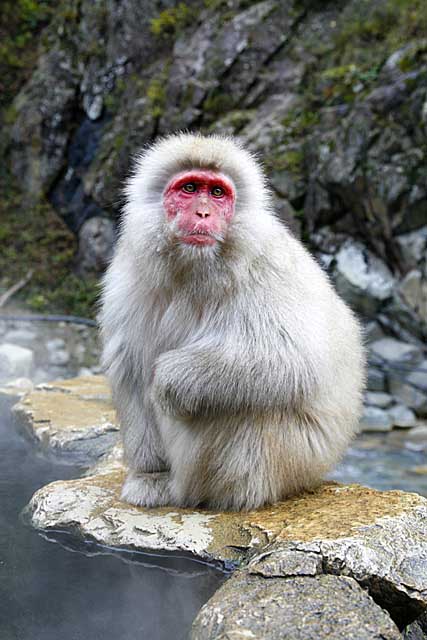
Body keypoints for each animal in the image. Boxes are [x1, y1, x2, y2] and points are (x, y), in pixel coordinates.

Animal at [98, 132, 366, 512]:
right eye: (190, 188)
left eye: (217, 193)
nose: (203, 212)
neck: (193, 267)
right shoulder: (128, 272)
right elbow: (129, 367)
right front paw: (149, 474)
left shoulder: (267, 264)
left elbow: (292, 361)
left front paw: (167, 379)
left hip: (284, 460)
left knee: (240, 400)